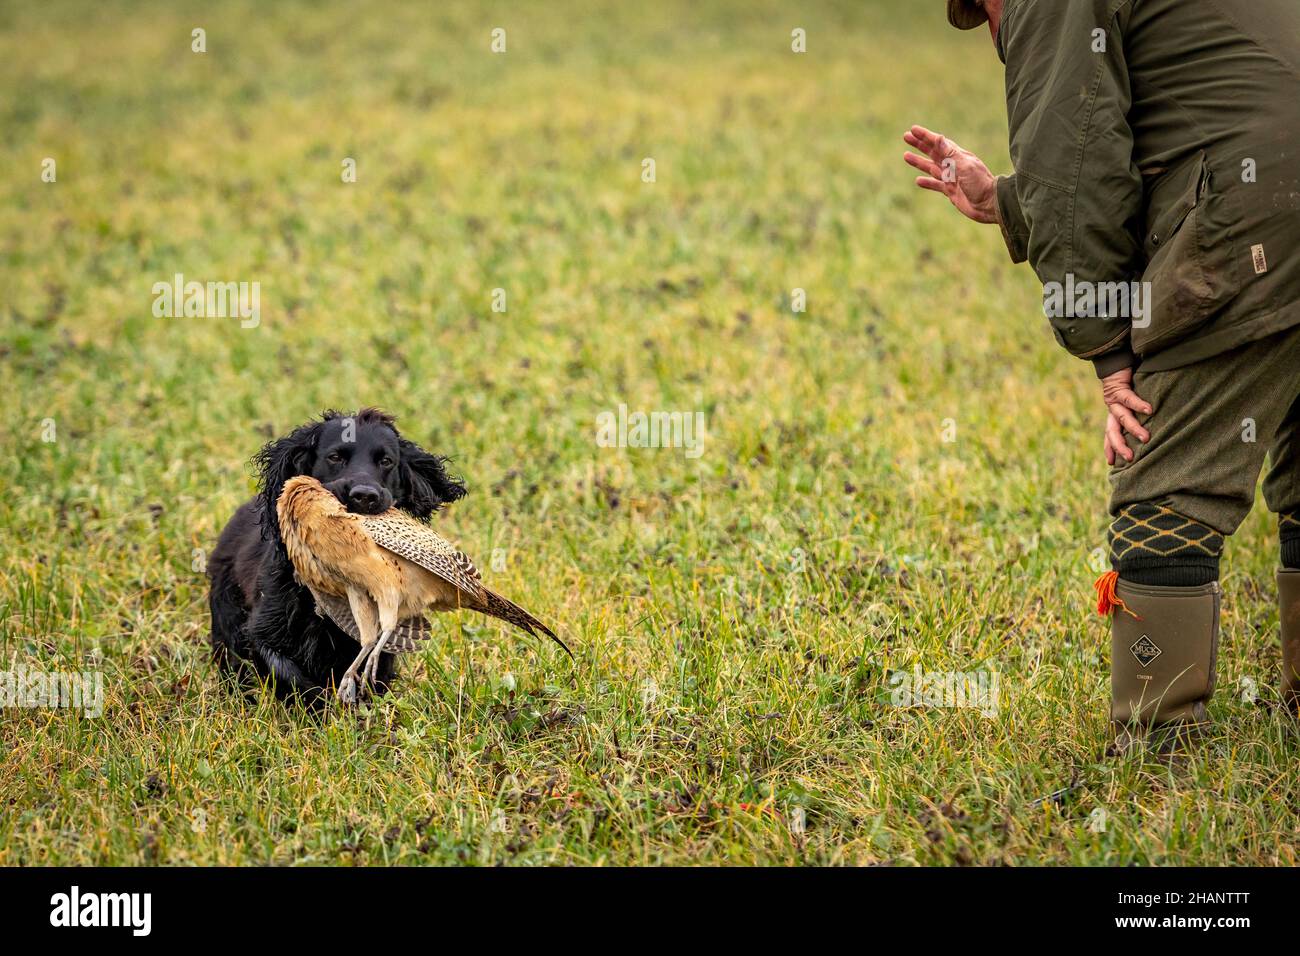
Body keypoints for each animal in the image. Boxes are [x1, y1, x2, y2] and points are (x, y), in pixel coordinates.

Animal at [205, 408, 465, 707]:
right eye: (335, 457)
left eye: (386, 461)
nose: (364, 496)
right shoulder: (262, 631)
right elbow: (289, 674)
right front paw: (324, 707)